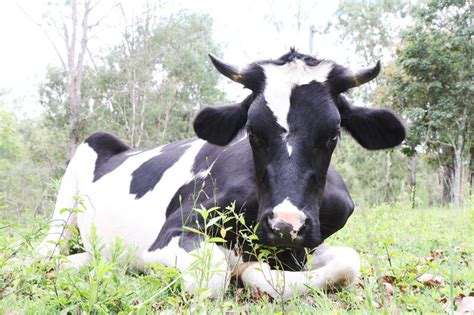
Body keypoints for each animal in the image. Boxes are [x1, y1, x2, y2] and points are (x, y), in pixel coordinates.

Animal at [39, 49, 406, 302]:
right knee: (48, 249)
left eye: (332, 135)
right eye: (253, 131)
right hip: (67, 201)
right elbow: (216, 273)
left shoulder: (309, 244)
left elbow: (348, 262)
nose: (285, 226)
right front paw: (248, 267)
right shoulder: (172, 233)